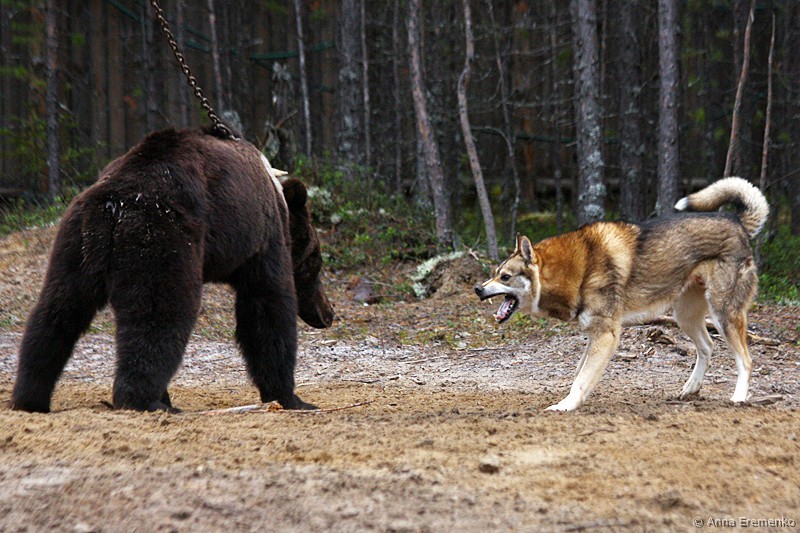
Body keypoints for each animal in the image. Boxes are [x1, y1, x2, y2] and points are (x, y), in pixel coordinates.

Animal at [10, 127, 334, 412]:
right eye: (316, 260)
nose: (328, 313)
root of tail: (114, 203)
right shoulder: (262, 237)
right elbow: (267, 306)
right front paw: (291, 397)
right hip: (161, 235)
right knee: (160, 314)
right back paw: (144, 401)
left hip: (74, 244)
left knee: (57, 311)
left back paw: (30, 397)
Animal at [475, 177, 769, 411]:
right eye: (495, 273)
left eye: (505, 277)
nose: (478, 289)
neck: (578, 269)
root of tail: (738, 222)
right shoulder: (594, 336)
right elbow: (578, 375)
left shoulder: (606, 336)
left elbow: (580, 381)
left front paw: (564, 406)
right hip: (685, 316)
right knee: (707, 347)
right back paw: (689, 390)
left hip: (723, 316)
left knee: (746, 360)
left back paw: (738, 398)